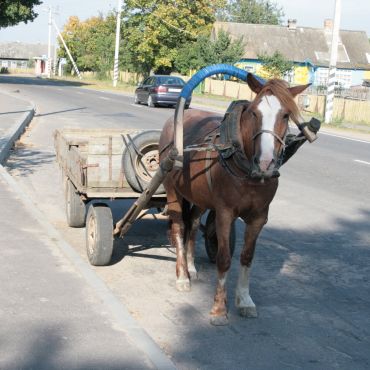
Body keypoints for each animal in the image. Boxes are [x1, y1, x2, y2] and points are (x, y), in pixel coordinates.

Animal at [158, 73, 310, 326]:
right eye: (254, 112)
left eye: (285, 115)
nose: (266, 162)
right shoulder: (224, 214)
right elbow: (224, 258)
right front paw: (219, 308)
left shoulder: (259, 217)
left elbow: (247, 257)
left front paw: (245, 300)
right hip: (173, 192)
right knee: (179, 227)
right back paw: (182, 276)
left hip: (199, 198)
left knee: (192, 225)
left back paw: (191, 267)